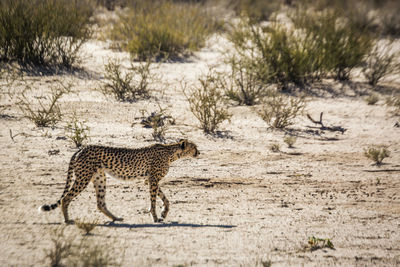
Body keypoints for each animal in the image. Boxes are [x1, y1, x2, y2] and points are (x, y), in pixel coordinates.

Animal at [39, 140, 198, 224]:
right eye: (194, 147)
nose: (199, 152)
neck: (171, 153)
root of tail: (82, 148)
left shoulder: (149, 180)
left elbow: (165, 198)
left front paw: (164, 213)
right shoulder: (153, 179)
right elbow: (153, 201)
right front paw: (155, 217)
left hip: (99, 177)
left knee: (100, 203)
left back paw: (116, 218)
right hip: (83, 177)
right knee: (66, 198)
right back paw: (67, 220)